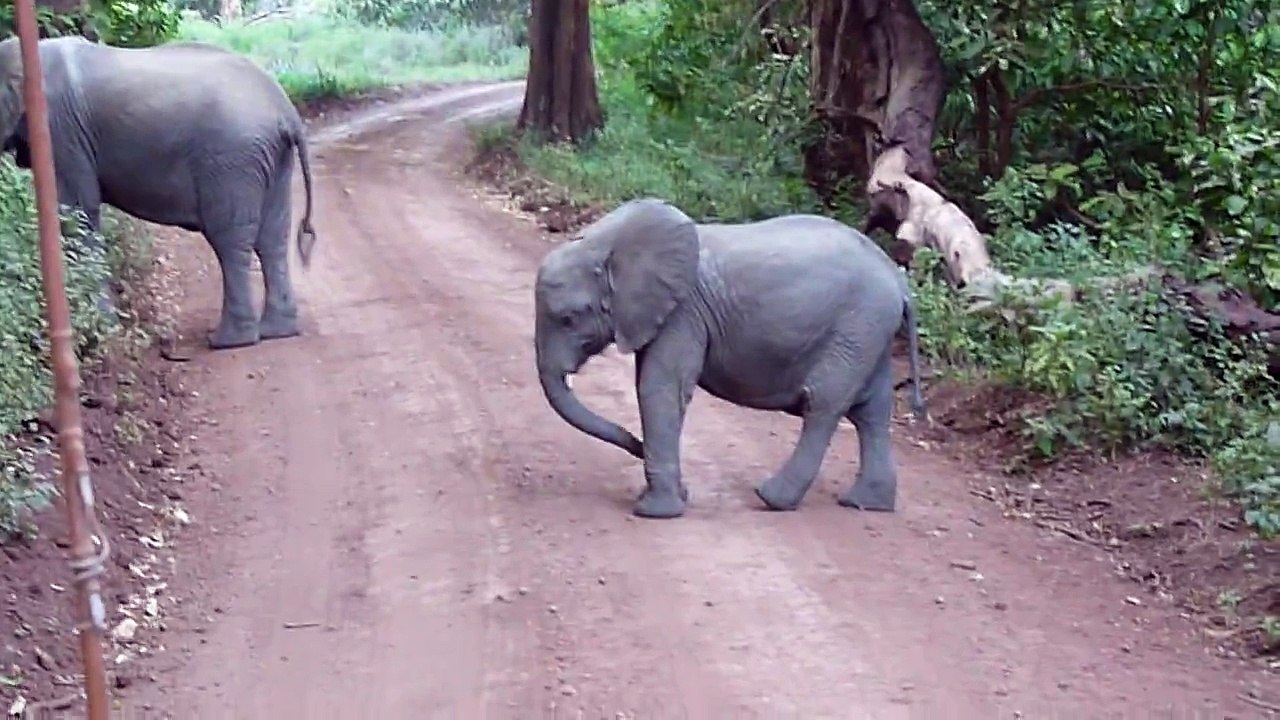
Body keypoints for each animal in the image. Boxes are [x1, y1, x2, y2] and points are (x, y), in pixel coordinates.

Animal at [0, 36, 317, 350]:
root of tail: (285, 110)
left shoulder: (60, 131)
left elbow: (77, 212)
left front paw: (103, 329)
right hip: (272, 160)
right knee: (273, 237)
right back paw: (276, 331)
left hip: (233, 158)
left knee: (230, 238)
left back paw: (227, 341)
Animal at [533, 198, 927, 519]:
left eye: (568, 318)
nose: (636, 447)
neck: (607, 241)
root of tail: (899, 282)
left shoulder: (684, 312)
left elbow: (659, 387)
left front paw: (654, 512)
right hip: (870, 331)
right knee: (871, 411)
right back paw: (865, 504)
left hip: (858, 326)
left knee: (824, 402)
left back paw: (771, 498)